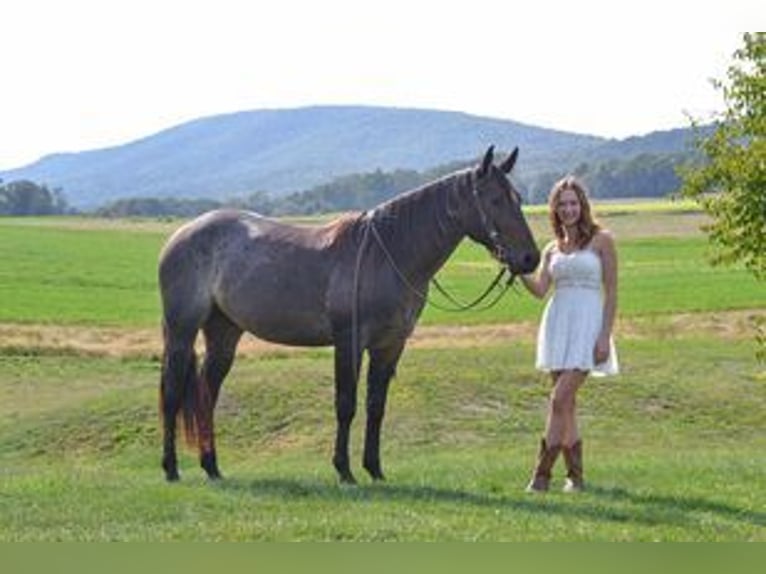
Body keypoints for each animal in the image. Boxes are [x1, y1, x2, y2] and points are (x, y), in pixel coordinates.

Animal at [158, 145, 540, 486]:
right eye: (495, 200)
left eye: (518, 198)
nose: (530, 258)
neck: (389, 254)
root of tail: (181, 235)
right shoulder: (349, 342)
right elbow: (346, 404)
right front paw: (344, 471)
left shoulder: (390, 346)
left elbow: (375, 406)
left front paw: (374, 468)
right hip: (182, 331)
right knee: (173, 393)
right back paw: (171, 469)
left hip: (224, 334)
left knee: (207, 394)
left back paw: (211, 467)